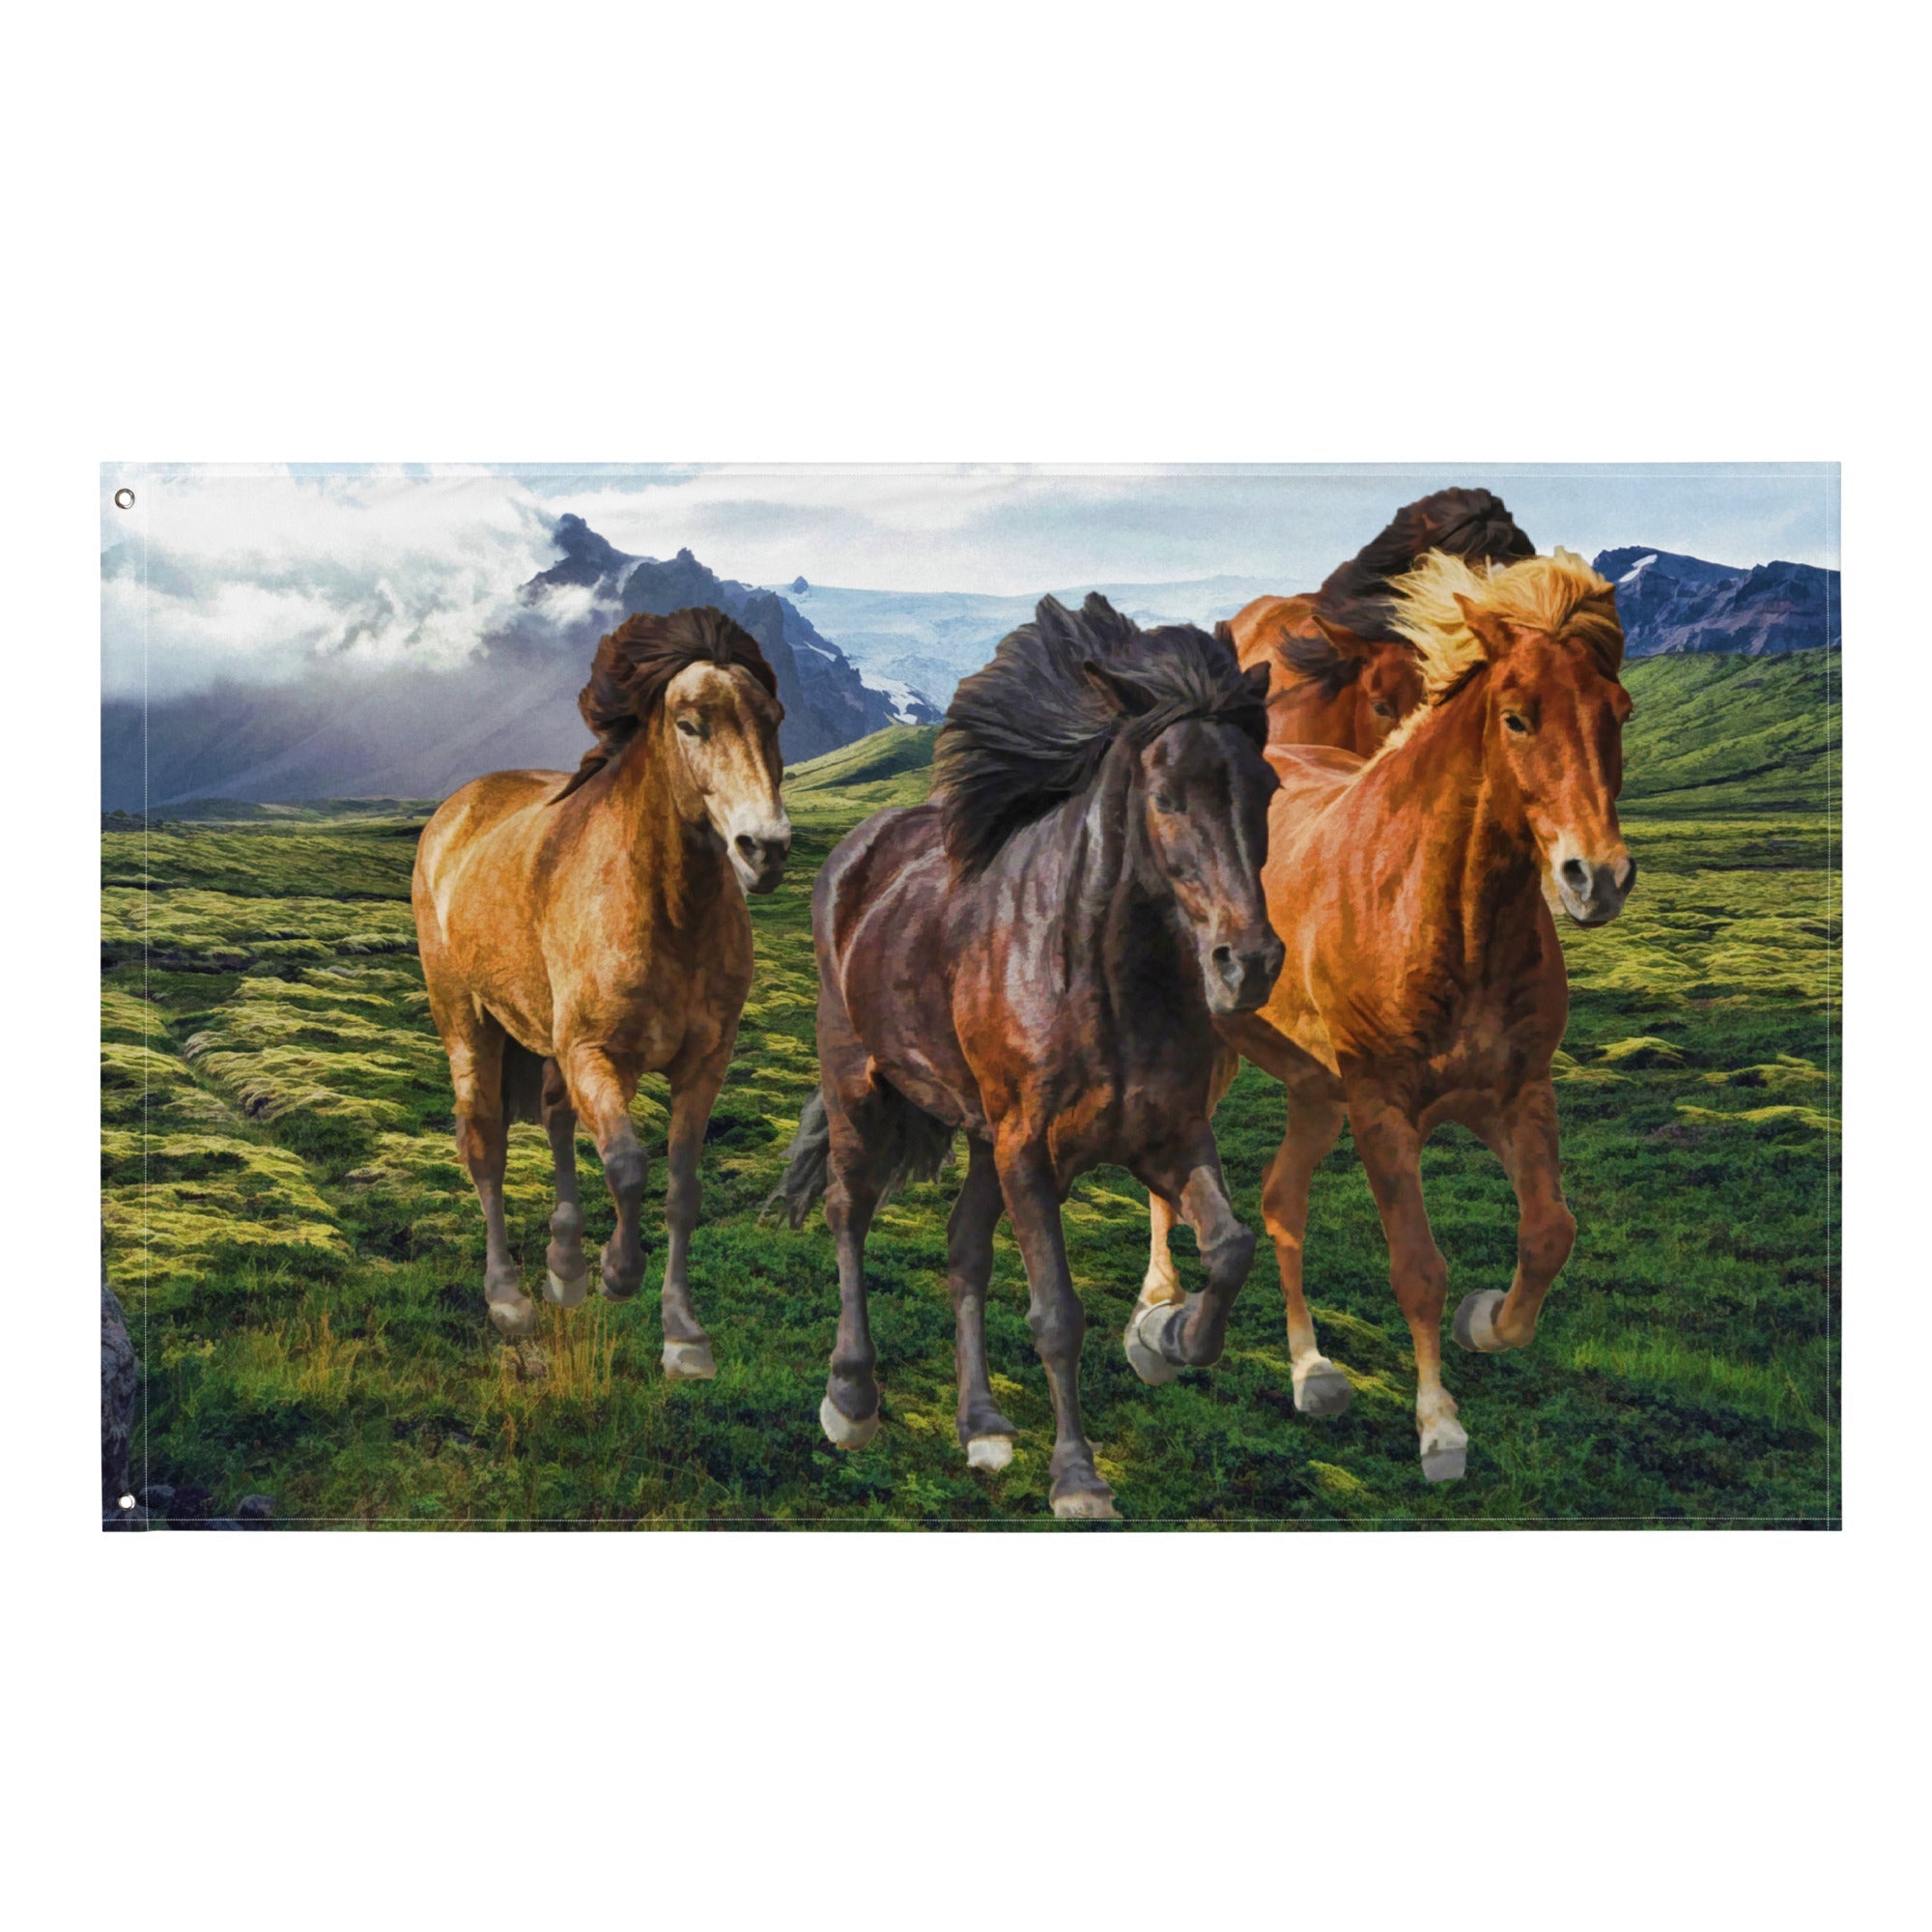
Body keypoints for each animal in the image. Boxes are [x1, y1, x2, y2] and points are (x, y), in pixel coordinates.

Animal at [412, 605, 790, 1374]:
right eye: (689, 724)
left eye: (774, 719)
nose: (764, 850)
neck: (667, 912)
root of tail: (455, 811)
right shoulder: (595, 1054)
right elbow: (627, 1164)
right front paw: (619, 1273)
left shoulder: (704, 1063)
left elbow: (682, 1187)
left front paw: (682, 1333)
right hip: (468, 1023)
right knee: (486, 1143)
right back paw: (510, 1297)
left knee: (556, 1117)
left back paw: (564, 1267)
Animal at [766, 594, 1281, 1520]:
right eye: (1165, 797)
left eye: (1267, 789)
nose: (1247, 963)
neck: (1103, 979)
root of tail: (857, 855)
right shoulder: (1032, 1153)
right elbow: (1056, 1314)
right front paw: (1077, 1477)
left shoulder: (1167, 1136)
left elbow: (1232, 1248)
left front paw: (1167, 1335)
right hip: (862, 1089)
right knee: (847, 1214)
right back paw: (852, 1398)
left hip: (980, 1138)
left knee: (963, 1248)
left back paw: (982, 1426)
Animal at [1164, 548, 1634, 1482]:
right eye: (1517, 717)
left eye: (1621, 712)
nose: (1595, 878)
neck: (1440, 911)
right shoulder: (1384, 1108)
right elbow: (1417, 1267)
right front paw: (1439, 1426)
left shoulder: (1515, 1094)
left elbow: (1549, 1232)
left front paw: (1487, 1321)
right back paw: (1153, 1318)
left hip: (1313, 1091)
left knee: (1282, 1200)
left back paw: (1312, 1372)